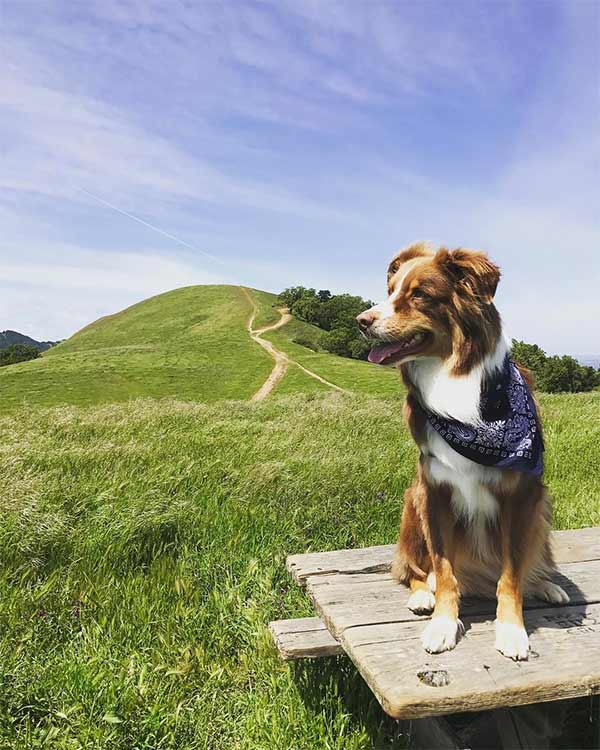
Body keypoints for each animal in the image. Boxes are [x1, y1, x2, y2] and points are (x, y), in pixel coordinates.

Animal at [358, 244, 568, 660]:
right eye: (390, 291)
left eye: (419, 295)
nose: (361, 321)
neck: (452, 377)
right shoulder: (435, 491)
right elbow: (444, 570)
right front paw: (442, 623)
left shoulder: (522, 495)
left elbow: (512, 571)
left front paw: (512, 629)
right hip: (412, 501)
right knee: (413, 570)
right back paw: (422, 596)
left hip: (542, 508)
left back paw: (545, 584)